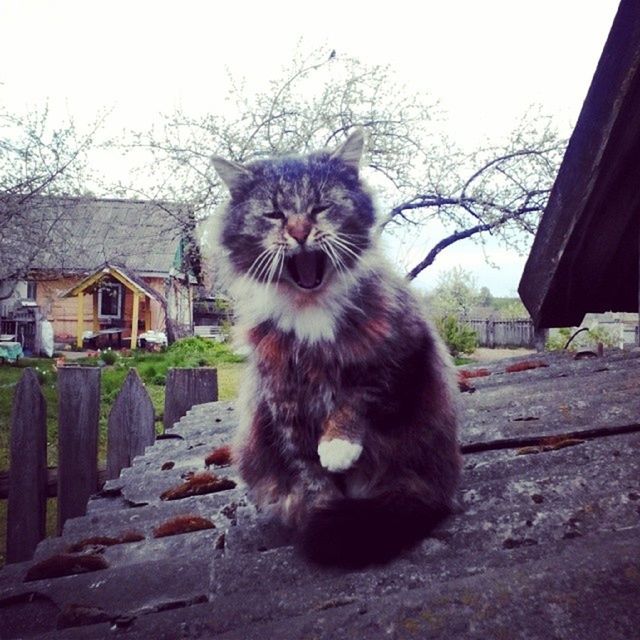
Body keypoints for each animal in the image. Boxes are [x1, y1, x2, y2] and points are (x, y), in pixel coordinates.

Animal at [208, 129, 462, 564]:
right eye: (274, 214)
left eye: (320, 207)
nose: (298, 233)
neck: (311, 310)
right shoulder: (283, 398)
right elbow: (310, 474)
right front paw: (322, 511)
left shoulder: (397, 352)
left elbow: (357, 398)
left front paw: (338, 447)